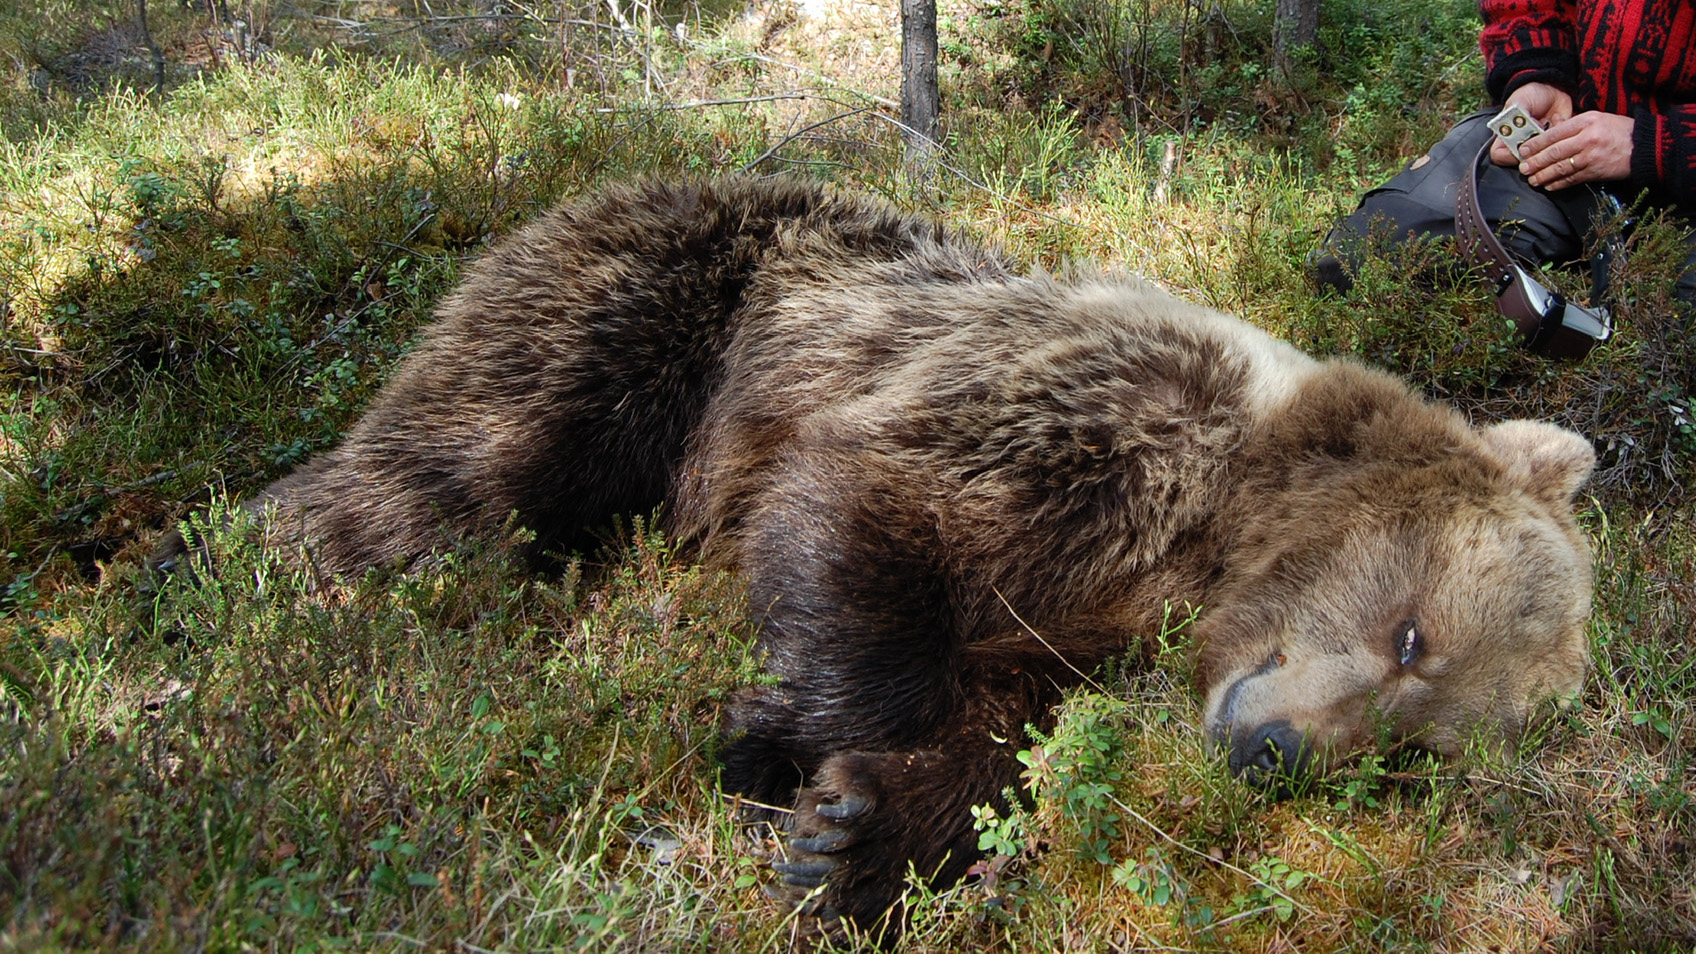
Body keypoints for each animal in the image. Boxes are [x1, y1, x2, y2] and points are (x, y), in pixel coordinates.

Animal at [151, 176, 1596, 933]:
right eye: (1411, 633)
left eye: (1414, 751)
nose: (1271, 751)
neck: (1209, 536)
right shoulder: (1082, 420)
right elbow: (864, 509)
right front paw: (780, 748)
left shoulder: (1080, 625)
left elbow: (1007, 731)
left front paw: (852, 834)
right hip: (657, 305)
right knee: (465, 471)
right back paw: (220, 566)